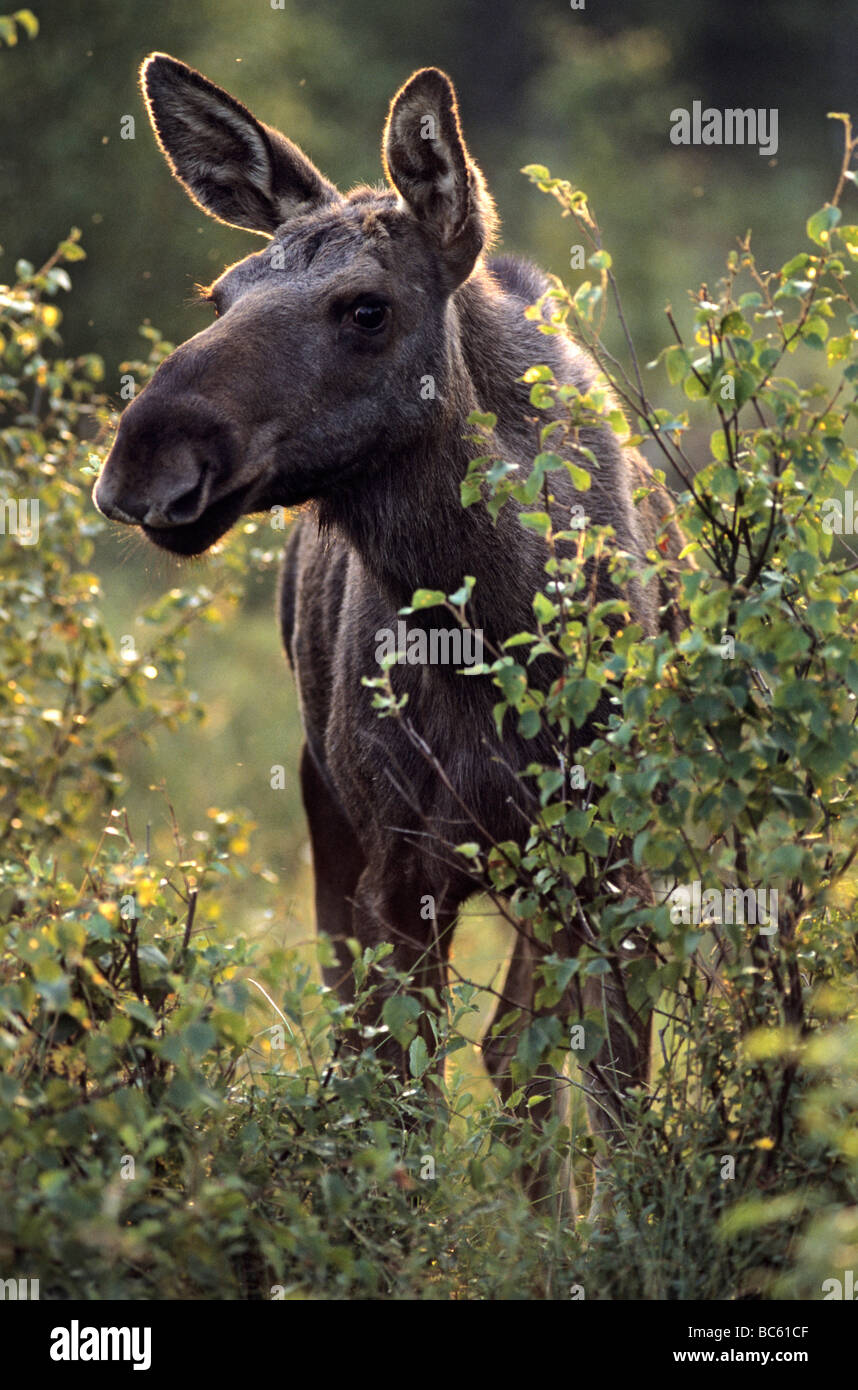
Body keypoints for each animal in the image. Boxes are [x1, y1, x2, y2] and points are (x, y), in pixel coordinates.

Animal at [93, 54, 681, 1212]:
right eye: (221, 295)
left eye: (365, 307)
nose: (144, 459)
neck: (490, 626)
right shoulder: (400, 862)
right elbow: (401, 1090)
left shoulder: (606, 854)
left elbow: (605, 1087)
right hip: (328, 807)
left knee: (516, 1051)